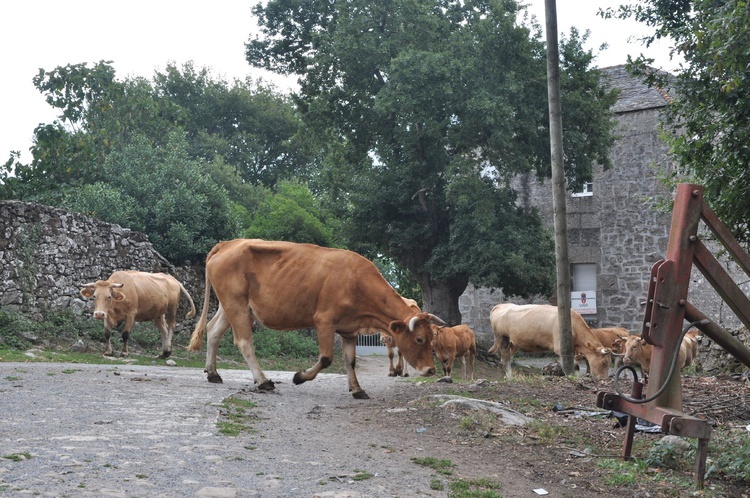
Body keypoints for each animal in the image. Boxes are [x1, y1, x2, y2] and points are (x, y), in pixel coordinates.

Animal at [189, 239, 446, 398]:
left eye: (432, 337)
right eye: (420, 339)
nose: (431, 370)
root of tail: (229, 243)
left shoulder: (349, 329)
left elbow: (350, 361)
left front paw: (357, 389)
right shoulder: (325, 320)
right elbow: (326, 358)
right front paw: (299, 377)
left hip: (231, 306)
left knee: (213, 331)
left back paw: (213, 373)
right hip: (237, 304)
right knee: (243, 342)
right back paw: (262, 381)